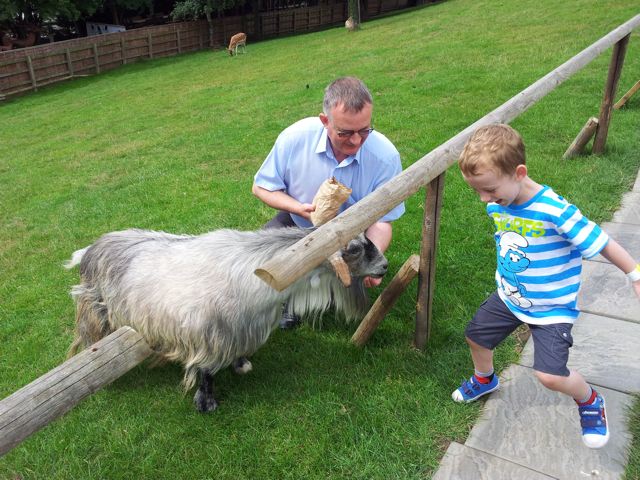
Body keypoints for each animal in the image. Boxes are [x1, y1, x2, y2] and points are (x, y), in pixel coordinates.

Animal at [66, 227, 384, 410]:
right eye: (355, 249)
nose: (384, 265)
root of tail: (90, 249)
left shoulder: (240, 328)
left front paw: (241, 364)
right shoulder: (208, 335)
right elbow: (206, 373)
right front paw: (207, 403)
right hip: (96, 310)